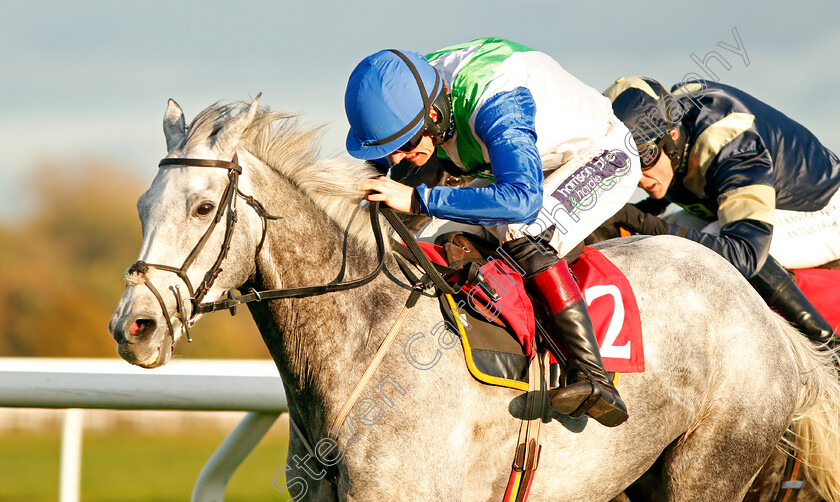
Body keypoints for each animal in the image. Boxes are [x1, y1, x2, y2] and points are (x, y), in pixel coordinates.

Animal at [111, 99, 840, 502]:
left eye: (204, 207)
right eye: (144, 205)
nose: (133, 326)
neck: (362, 349)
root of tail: (767, 318)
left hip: (707, 470)